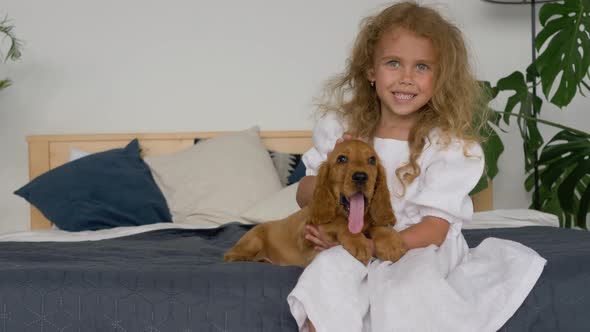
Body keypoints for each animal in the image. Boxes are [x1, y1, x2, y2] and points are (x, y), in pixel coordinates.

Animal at [225, 140, 408, 268]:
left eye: (371, 160)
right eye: (342, 159)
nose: (361, 177)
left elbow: (377, 225)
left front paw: (391, 243)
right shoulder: (306, 235)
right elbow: (339, 223)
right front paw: (359, 242)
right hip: (252, 242)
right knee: (230, 256)